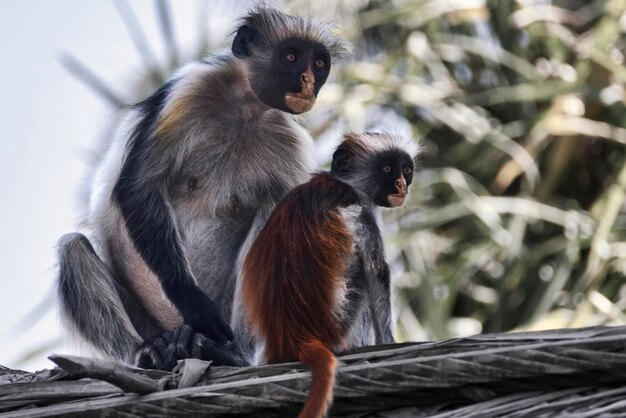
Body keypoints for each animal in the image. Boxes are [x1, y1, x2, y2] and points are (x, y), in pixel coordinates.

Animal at [55, 4, 344, 370]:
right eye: (291, 56)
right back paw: (145, 351)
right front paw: (190, 298)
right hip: (151, 322)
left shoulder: (290, 142)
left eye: (319, 63)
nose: (308, 81)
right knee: (73, 248)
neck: (244, 108)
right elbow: (138, 187)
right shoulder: (190, 90)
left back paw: (228, 352)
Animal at [241, 131, 416, 418]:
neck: (341, 183)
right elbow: (376, 273)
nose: (402, 185)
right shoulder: (359, 210)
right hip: (339, 323)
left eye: (406, 170)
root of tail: (295, 336)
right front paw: (389, 343)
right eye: (387, 169)